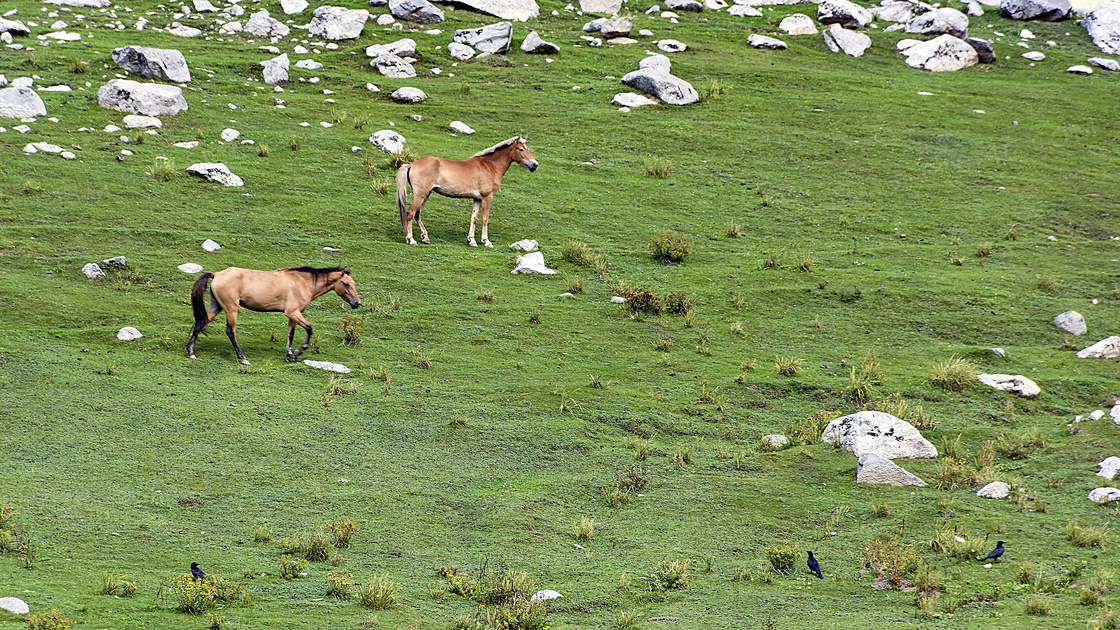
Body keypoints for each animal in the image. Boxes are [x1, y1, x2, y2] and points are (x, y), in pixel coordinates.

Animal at [183, 264, 358, 363]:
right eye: (346, 284)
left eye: (353, 284)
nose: (357, 303)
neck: (302, 282)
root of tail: (217, 274)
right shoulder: (293, 312)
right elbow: (309, 329)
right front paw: (299, 351)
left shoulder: (293, 315)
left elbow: (290, 334)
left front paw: (291, 356)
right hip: (231, 308)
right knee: (230, 331)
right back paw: (243, 358)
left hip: (217, 306)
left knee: (200, 323)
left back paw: (191, 352)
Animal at [396, 134, 539, 245]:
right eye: (521, 149)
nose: (535, 165)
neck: (489, 166)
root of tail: (411, 164)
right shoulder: (487, 197)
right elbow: (485, 218)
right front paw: (486, 241)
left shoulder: (477, 199)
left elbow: (473, 218)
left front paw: (472, 240)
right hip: (421, 195)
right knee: (410, 213)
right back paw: (411, 239)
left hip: (426, 194)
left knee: (417, 213)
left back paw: (425, 238)